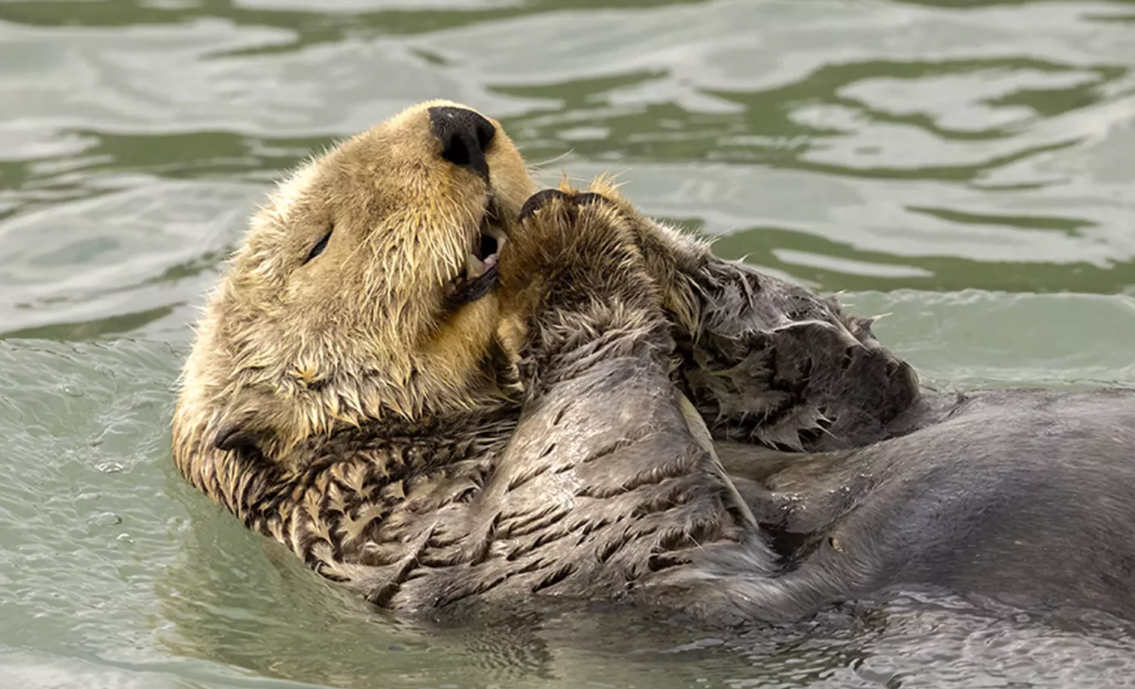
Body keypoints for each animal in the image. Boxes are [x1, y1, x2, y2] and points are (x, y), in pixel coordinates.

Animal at [172, 99, 1135, 622]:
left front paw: (596, 208)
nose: (458, 126)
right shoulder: (414, 532)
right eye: (317, 241)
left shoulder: (843, 404)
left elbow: (850, 374)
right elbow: (604, 493)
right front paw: (564, 248)